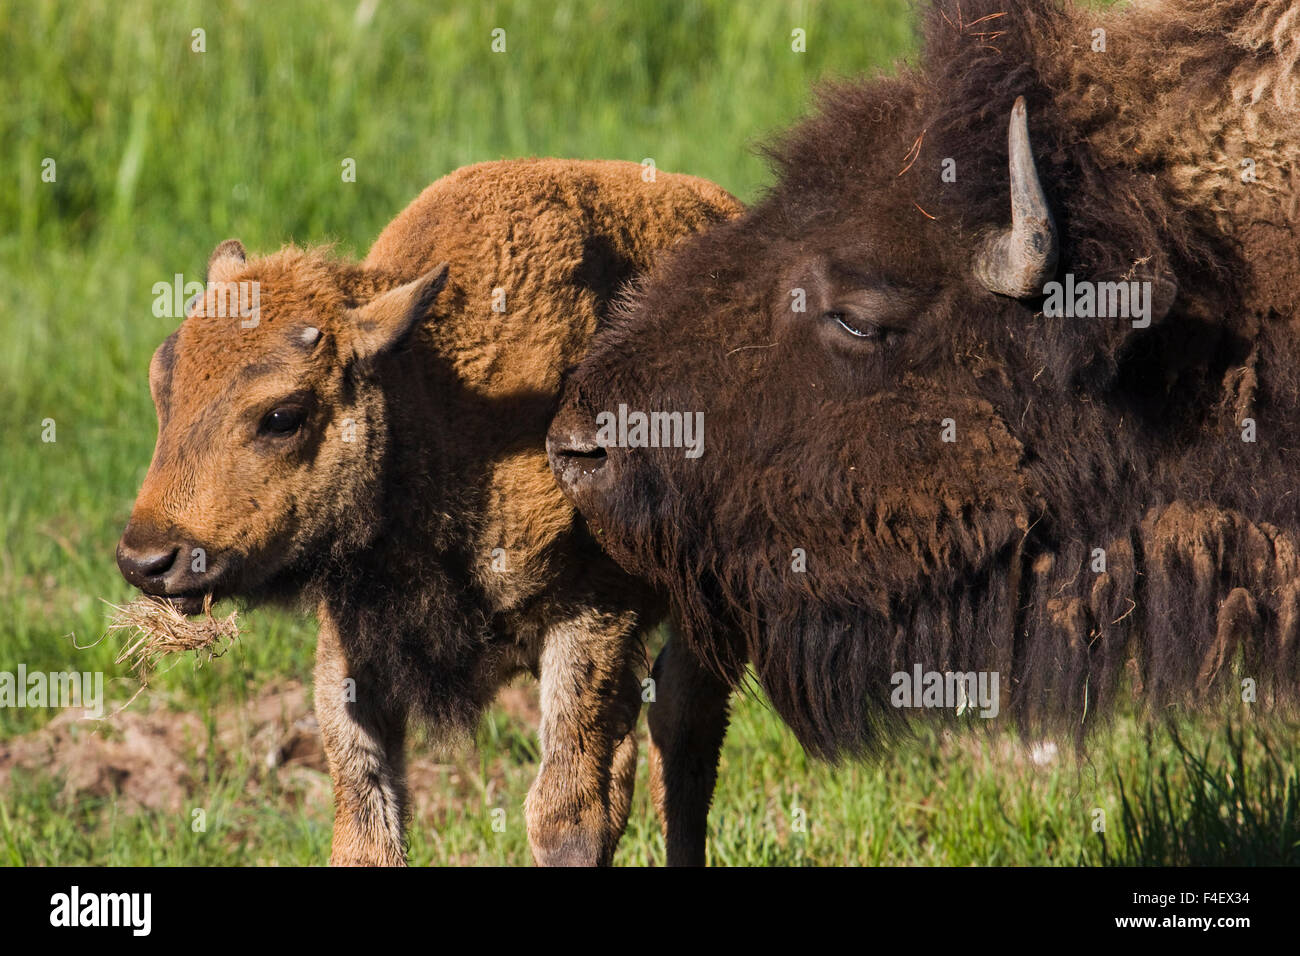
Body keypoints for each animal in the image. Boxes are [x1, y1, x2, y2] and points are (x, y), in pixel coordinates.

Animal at [116, 159, 741, 865]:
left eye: (282, 416)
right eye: (161, 385)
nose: (146, 561)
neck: (438, 406)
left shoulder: (591, 617)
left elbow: (566, 814)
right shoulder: (354, 648)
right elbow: (367, 822)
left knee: (682, 728)